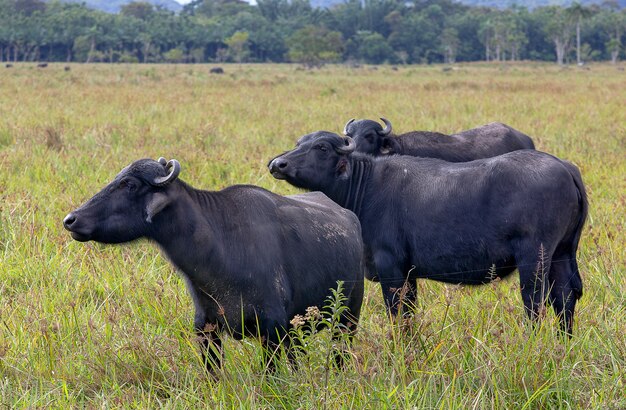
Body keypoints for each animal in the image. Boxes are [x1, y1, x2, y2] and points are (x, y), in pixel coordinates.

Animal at [63, 158, 364, 374]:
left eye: (129, 184)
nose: (71, 220)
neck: (221, 249)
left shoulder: (273, 330)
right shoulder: (206, 331)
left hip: (347, 320)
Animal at [268, 133, 584, 334]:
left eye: (321, 147)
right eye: (299, 143)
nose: (277, 164)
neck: (366, 188)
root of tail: (565, 166)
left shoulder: (391, 269)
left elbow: (397, 315)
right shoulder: (409, 274)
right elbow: (409, 315)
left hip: (535, 258)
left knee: (535, 303)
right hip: (562, 253)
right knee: (565, 297)